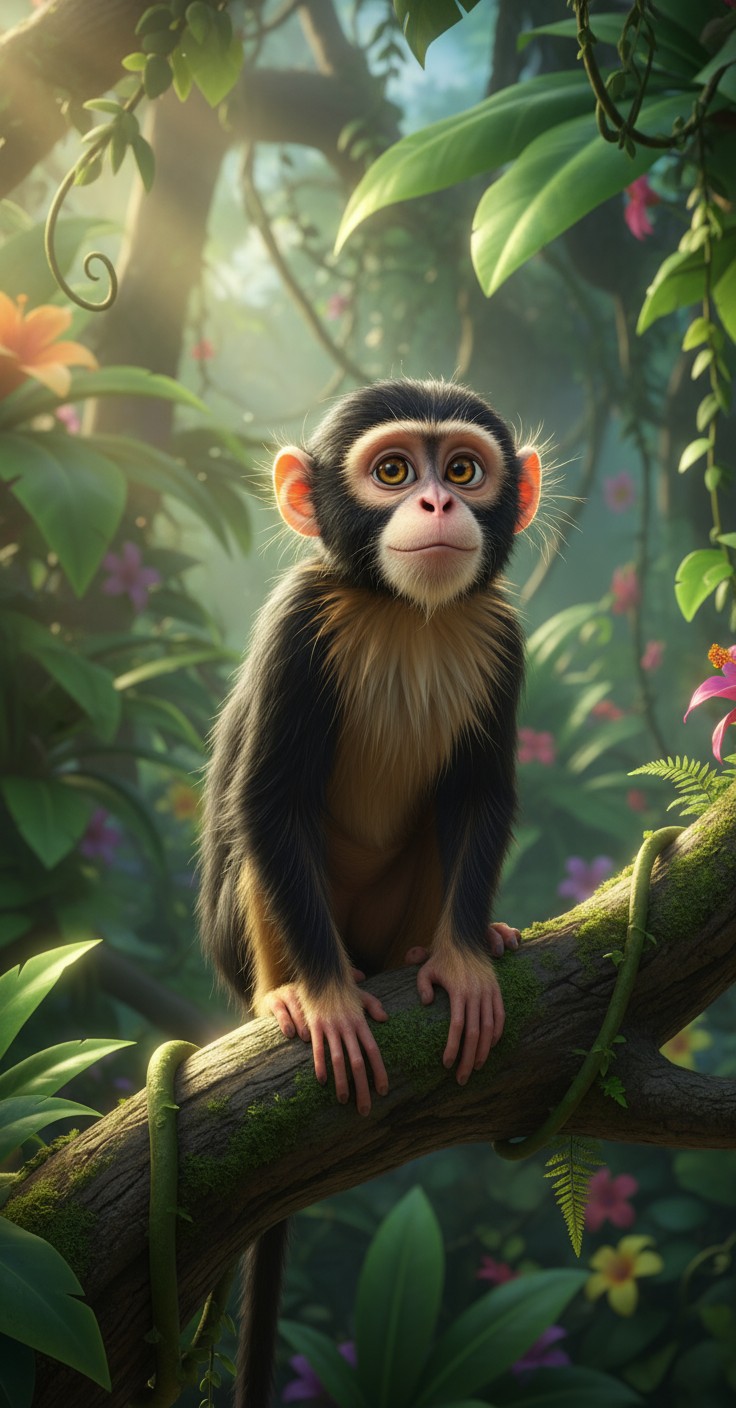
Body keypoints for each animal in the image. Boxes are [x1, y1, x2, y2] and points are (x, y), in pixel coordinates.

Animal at [197, 377, 541, 1406]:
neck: (403, 615)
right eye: (392, 472)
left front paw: (464, 962)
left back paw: (443, 948)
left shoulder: (502, 633)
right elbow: (270, 802)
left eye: (461, 468)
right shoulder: (298, 622)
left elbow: (479, 797)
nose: (434, 502)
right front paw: (326, 1002)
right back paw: (286, 994)